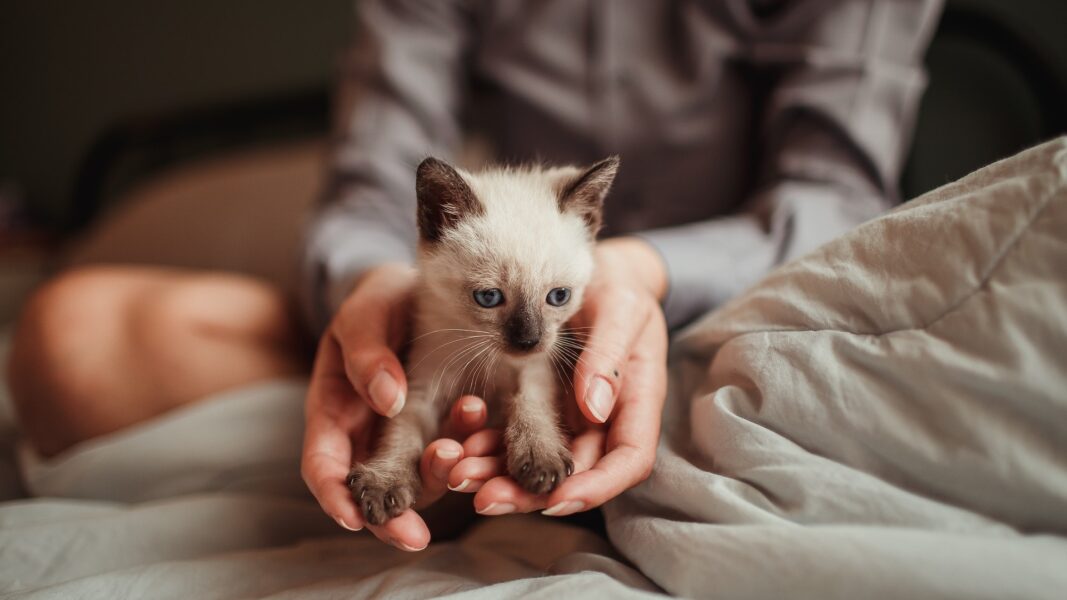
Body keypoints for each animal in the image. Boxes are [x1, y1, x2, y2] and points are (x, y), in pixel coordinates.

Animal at [349, 154, 618, 523]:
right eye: (489, 297)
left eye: (559, 296)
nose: (528, 341)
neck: (486, 360)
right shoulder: (422, 386)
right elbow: (401, 431)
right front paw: (385, 482)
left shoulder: (536, 369)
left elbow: (531, 404)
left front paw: (540, 459)